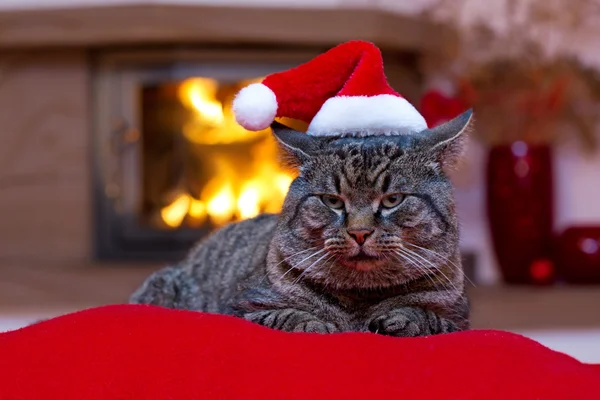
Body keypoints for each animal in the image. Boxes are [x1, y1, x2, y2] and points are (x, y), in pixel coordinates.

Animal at [131, 111, 474, 336]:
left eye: (393, 200)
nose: (359, 232)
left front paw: (401, 319)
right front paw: (316, 323)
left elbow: (429, 316)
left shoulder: (459, 317)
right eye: (332, 201)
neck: (360, 300)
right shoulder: (242, 307)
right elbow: (285, 315)